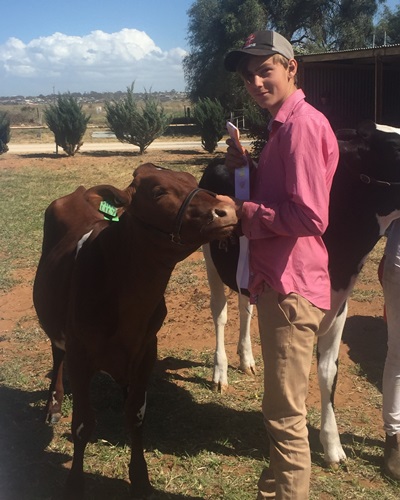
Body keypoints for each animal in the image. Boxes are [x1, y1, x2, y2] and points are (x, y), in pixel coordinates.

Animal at [200, 120, 400, 464]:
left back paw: (247, 359)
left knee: (244, 307)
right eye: (395, 147)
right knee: (219, 312)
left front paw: (332, 446)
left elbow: (327, 372)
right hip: (209, 258)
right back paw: (220, 372)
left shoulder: (339, 308)